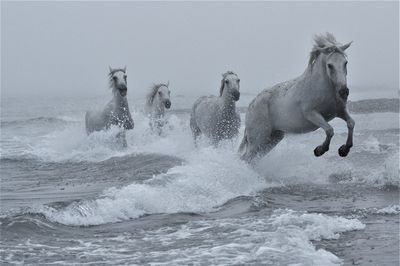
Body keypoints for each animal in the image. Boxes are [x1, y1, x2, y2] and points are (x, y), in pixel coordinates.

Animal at [239, 33, 354, 162]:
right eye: (330, 65)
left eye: (345, 63)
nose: (344, 92)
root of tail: (251, 105)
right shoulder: (312, 114)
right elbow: (329, 130)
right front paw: (319, 150)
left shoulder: (339, 111)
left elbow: (351, 123)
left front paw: (344, 150)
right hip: (258, 139)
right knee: (246, 158)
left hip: (272, 138)